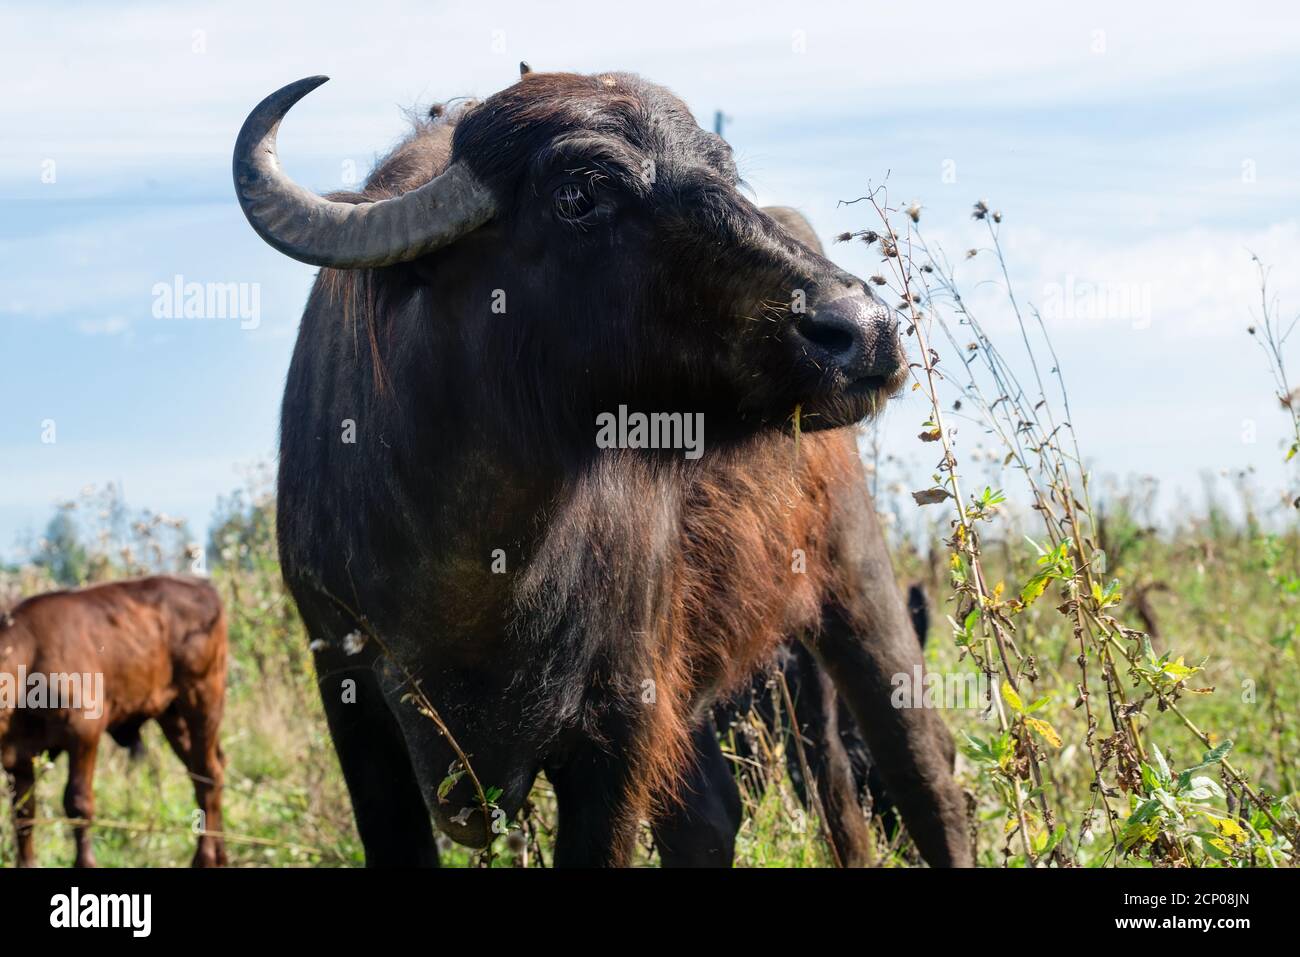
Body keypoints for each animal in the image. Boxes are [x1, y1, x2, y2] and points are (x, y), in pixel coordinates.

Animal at [234, 67, 971, 866]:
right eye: (578, 196)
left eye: (723, 168)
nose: (864, 328)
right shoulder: (347, 691)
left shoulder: (619, 721)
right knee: (729, 812)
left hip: (857, 581)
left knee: (922, 771)